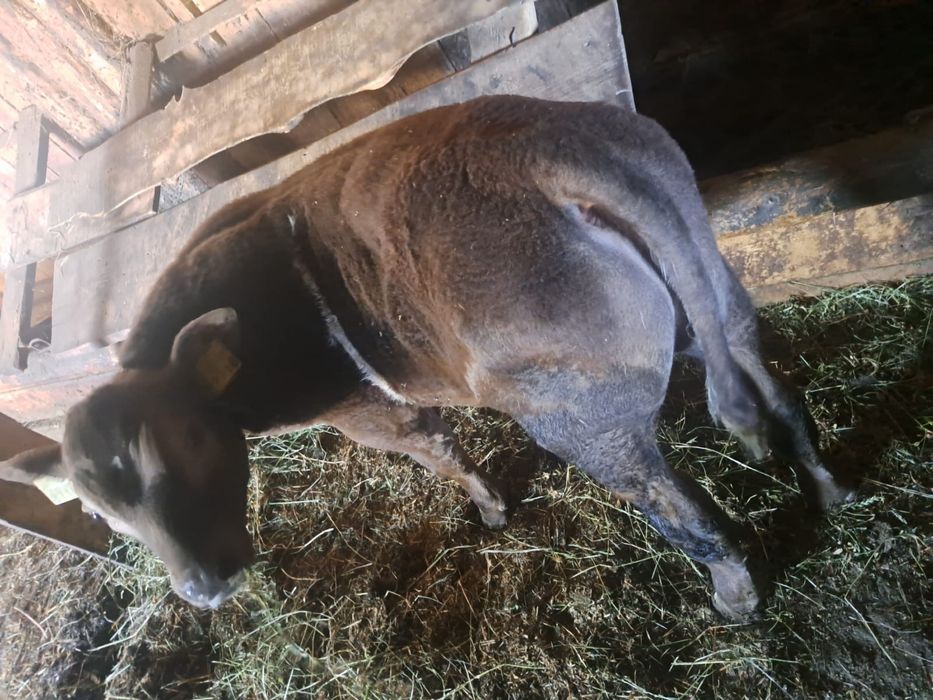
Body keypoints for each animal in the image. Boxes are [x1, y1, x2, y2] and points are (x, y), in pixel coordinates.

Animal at [0, 96, 853, 618]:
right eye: (100, 511)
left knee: (682, 510)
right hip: (715, 286)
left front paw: (490, 509)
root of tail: (546, 154)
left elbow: (436, 449)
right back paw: (828, 489)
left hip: (582, 416)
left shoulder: (365, 410)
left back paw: (735, 595)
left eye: (192, 438)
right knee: (773, 388)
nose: (203, 590)